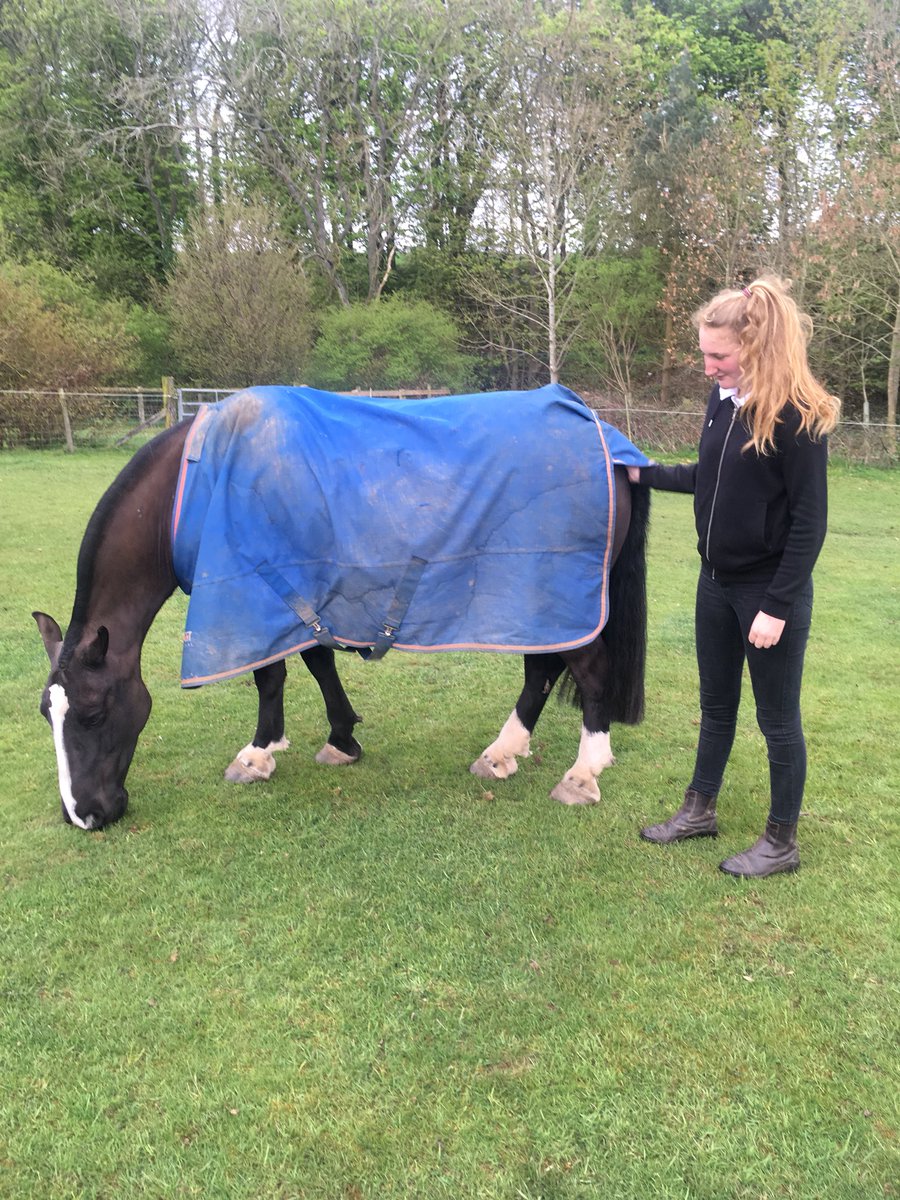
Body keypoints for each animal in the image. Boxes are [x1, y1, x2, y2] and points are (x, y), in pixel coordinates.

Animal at [33, 385, 650, 831]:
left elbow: (272, 675)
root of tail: (605, 435)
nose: (84, 816)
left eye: (92, 715)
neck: (192, 487)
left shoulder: (260, 589)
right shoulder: (300, 595)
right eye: (46, 714)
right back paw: (502, 753)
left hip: (555, 591)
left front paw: (257, 755)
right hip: (535, 603)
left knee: (588, 672)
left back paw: (582, 775)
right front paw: (338, 738)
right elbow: (316, 662)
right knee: (541, 669)